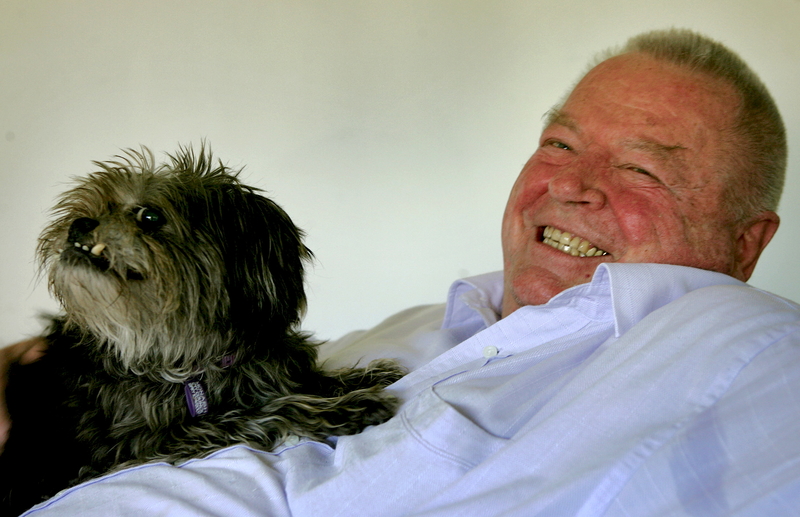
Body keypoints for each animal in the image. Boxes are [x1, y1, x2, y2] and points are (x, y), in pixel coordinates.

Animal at [0, 146, 404, 516]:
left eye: (150, 215)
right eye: (85, 210)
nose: (79, 224)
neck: (190, 357)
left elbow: (305, 379)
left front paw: (367, 376)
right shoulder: (145, 442)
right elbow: (260, 412)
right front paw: (347, 408)